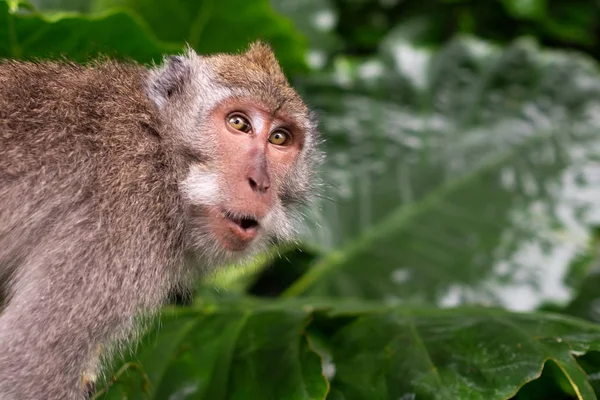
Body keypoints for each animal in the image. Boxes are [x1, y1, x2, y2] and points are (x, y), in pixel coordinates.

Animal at [0, 42, 322, 398]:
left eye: (279, 138)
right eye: (239, 123)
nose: (260, 183)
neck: (162, 146)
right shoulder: (123, 222)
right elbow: (25, 366)